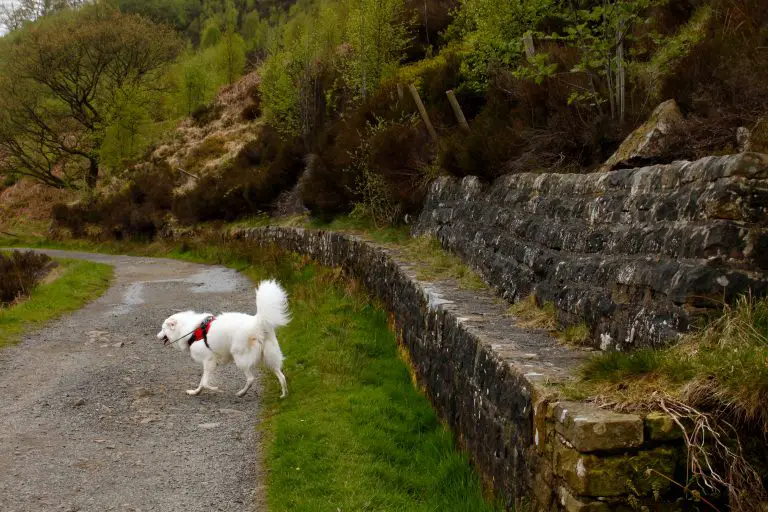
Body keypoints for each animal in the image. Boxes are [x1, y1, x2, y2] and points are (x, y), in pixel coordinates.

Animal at [156, 278, 292, 398]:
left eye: (162, 328)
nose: (157, 336)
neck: (190, 330)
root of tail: (258, 323)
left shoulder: (209, 360)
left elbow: (204, 382)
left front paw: (215, 389)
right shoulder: (210, 362)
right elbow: (202, 382)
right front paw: (195, 392)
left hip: (240, 358)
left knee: (251, 379)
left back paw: (241, 393)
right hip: (270, 357)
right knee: (281, 375)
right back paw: (284, 395)